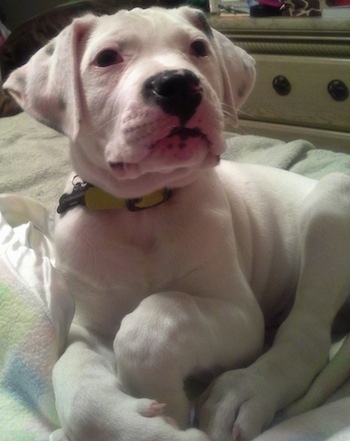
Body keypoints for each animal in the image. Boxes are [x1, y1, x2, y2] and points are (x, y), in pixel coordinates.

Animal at [4, 6, 350, 440]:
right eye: (107, 58)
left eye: (198, 48)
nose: (177, 84)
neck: (144, 209)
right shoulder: (89, 328)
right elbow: (73, 379)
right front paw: (139, 424)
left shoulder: (240, 315)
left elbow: (155, 318)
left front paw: (168, 404)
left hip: (330, 208)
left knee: (305, 336)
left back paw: (245, 391)